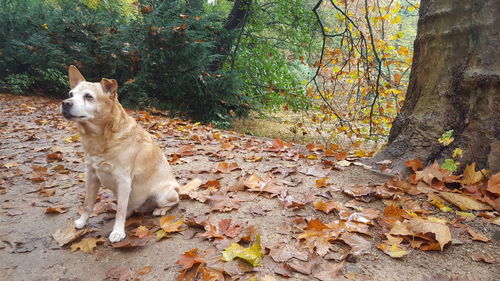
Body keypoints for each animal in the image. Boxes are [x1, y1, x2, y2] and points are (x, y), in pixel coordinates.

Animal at [61, 65, 181, 241]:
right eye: (70, 94)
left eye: (88, 96)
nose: (65, 103)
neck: (101, 139)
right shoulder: (91, 177)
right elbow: (88, 204)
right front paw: (82, 222)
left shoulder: (123, 181)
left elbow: (121, 211)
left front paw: (118, 231)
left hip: (162, 194)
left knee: (173, 203)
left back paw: (159, 210)